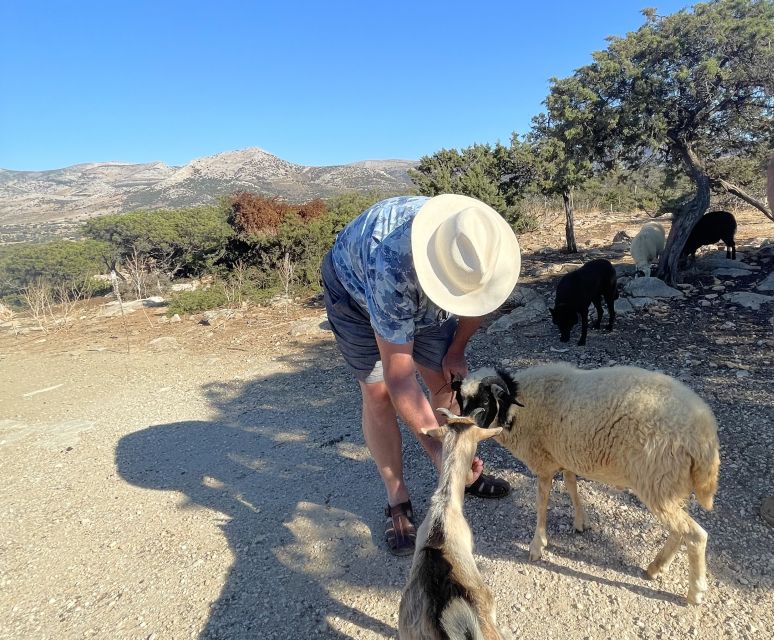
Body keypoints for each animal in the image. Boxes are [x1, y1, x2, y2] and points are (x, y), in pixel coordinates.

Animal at [452, 364, 724, 604]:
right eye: (460, 401)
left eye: (485, 402)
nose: (463, 430)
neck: (517, 408)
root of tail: (705, 439)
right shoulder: (565, 455)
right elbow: (571, 485)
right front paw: (581, 522)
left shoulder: (543, 463)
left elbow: (541, 504)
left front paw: (537, 546)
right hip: (670, 486)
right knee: (679, 531)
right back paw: (656, 567)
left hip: (658, 483)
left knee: (695, 535)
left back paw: (695, 592)